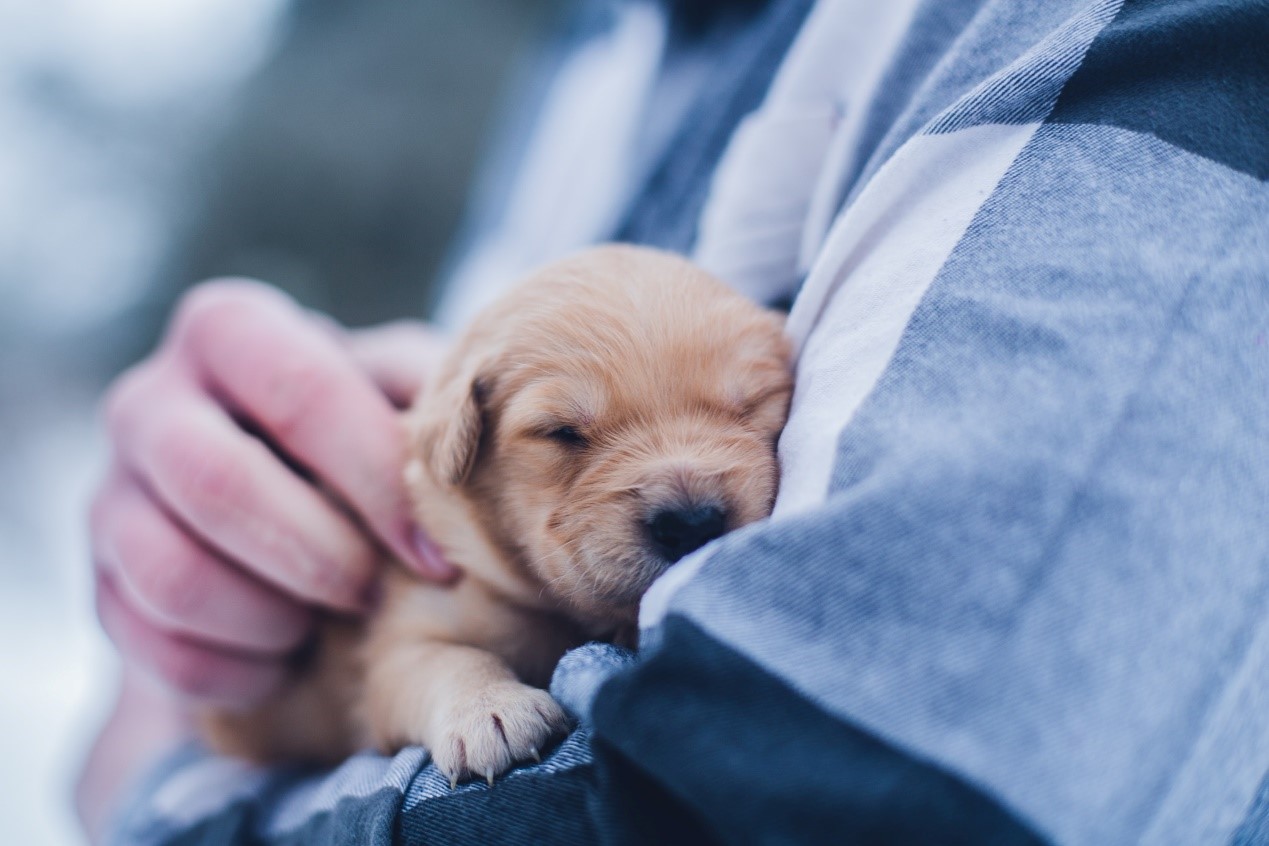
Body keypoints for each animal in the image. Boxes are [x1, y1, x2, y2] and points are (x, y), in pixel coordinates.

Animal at [201, 244, 786, 786]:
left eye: (752, 404)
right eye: (561, 432)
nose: (690, 524)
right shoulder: (398, 640)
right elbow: (444, 659)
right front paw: (490, 710)